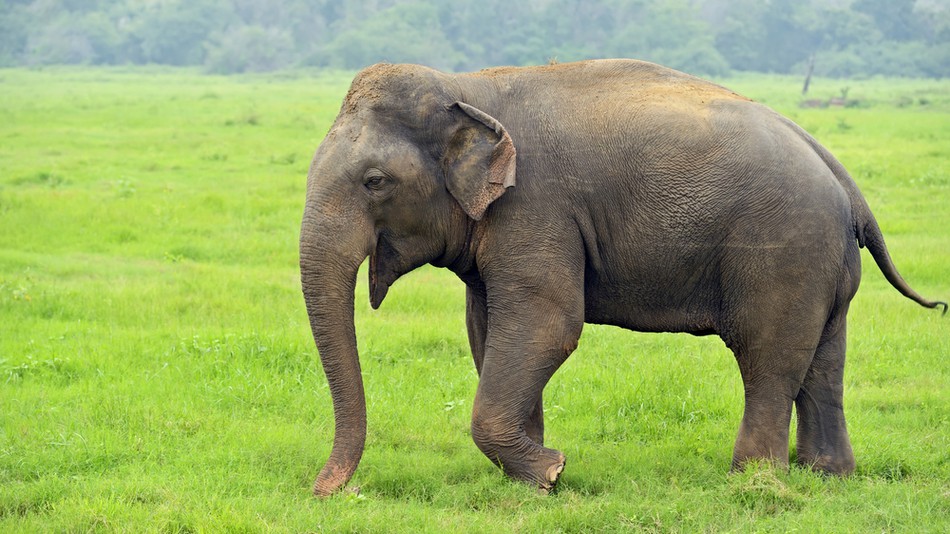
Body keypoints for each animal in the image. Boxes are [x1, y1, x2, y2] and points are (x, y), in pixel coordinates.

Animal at [300, 59, 944, 498]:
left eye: (375, 182)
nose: (326, 492)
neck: (469, 87)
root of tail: (840, 173)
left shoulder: (537, 207)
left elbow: (548, 325)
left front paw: (552, 472)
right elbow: (487, 329)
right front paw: (535, 476)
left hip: (784, 250)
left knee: (769, 355)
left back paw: (752, 481)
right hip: (825, 263)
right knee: (824, 359)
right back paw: (827, 476)